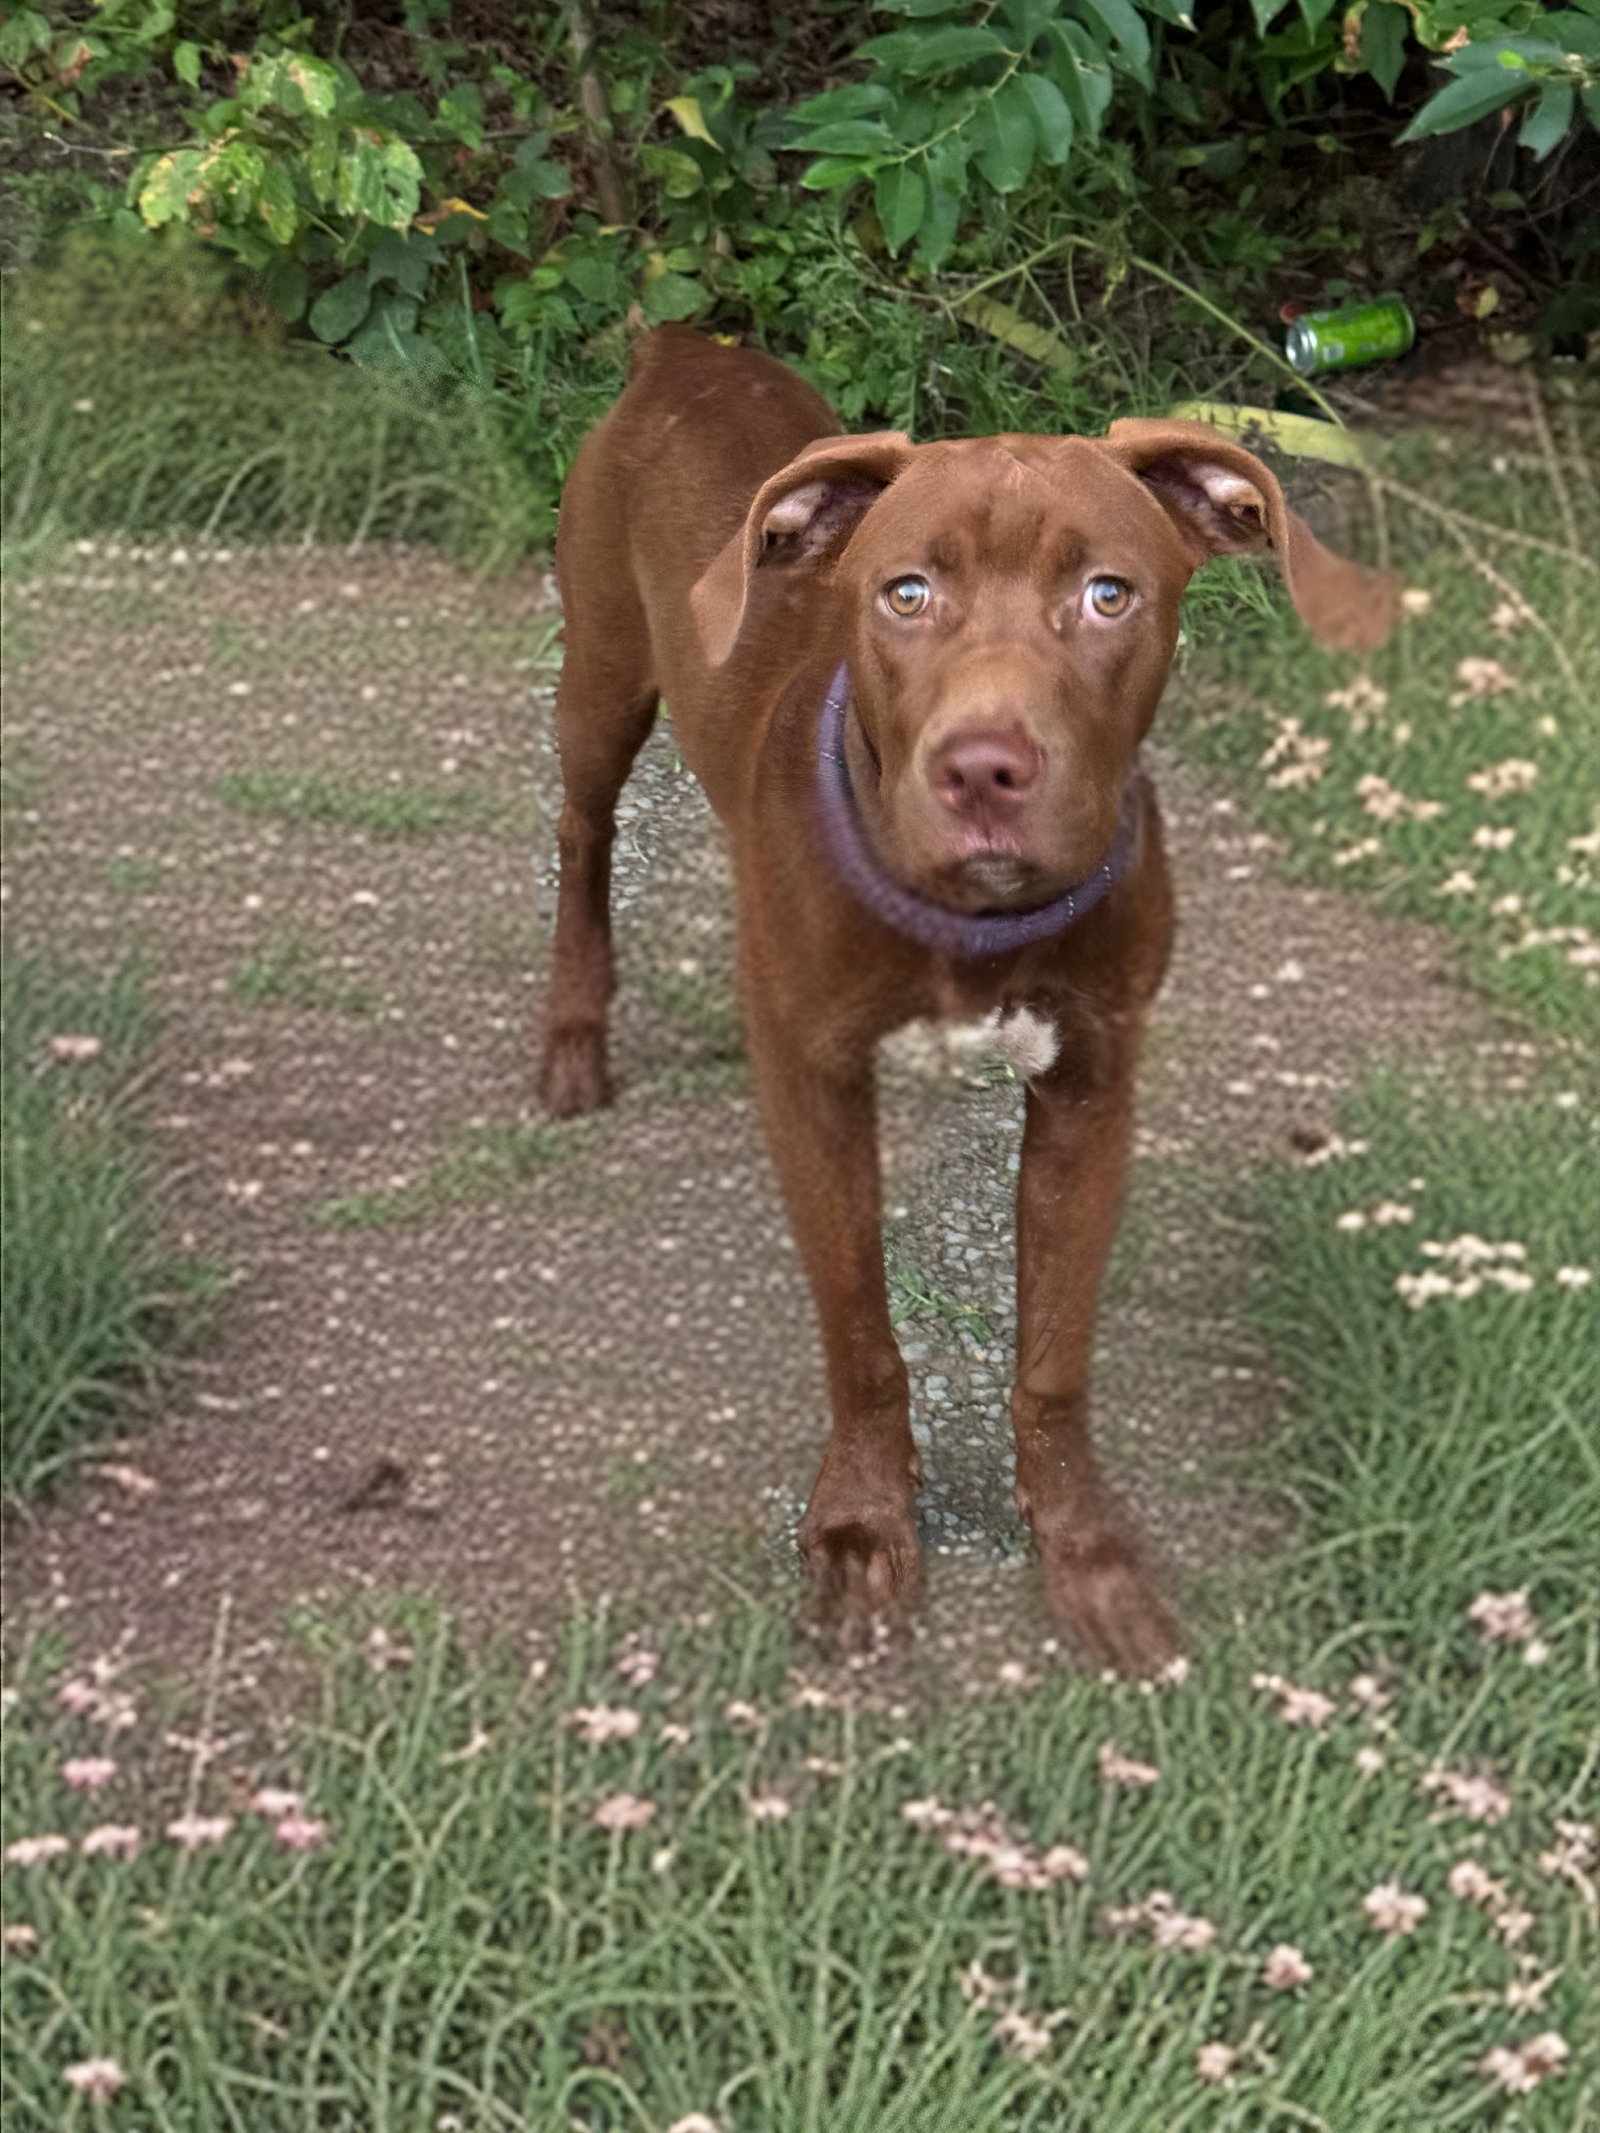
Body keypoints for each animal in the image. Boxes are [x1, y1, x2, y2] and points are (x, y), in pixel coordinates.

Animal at [539, 324, 1390, 1672]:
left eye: (1107, 594)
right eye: (905, 594)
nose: (984, 768)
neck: (973, 919)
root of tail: (683, 348)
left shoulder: (1091, 1097)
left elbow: (1052, 1361)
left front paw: (1085, 1558)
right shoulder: (816, 1094)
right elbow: (860, 1335)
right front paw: (859, 1529)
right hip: (599, 677)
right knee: (582, 835)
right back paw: (572, 1034)